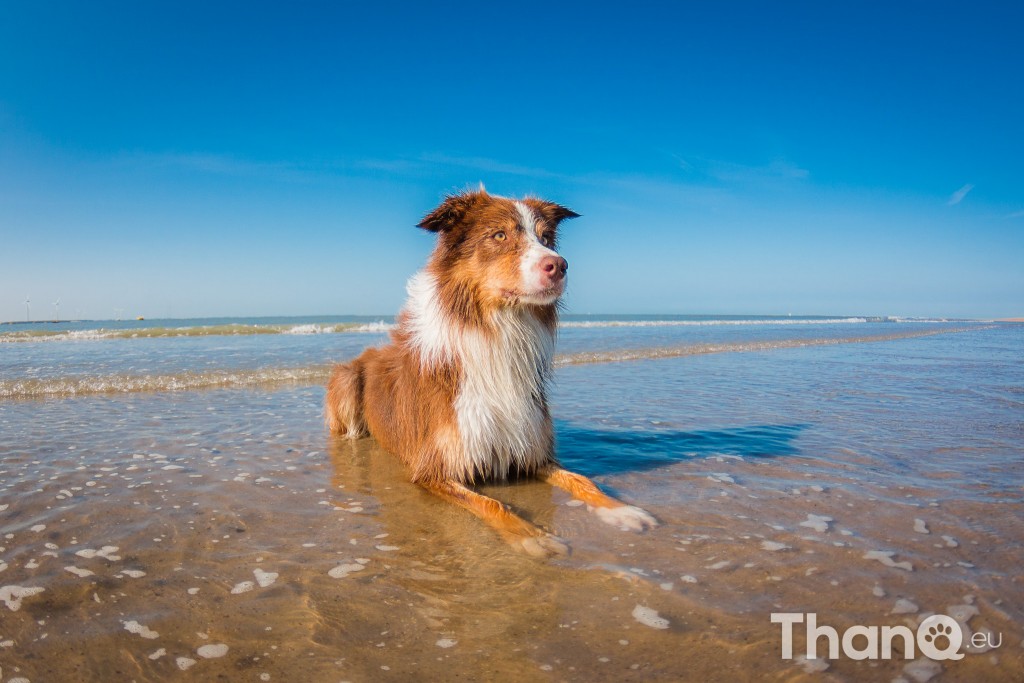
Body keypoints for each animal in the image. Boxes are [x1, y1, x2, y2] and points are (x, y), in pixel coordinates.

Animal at [327, 187, 655, 557]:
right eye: (499, 236)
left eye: (546, 239)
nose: (558, 265)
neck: (501, 333)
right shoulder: (433, 469)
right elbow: (493, 504)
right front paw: (533, 536)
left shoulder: (531, 447)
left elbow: (582, 479)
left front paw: (622, 510)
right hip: (346, 379)